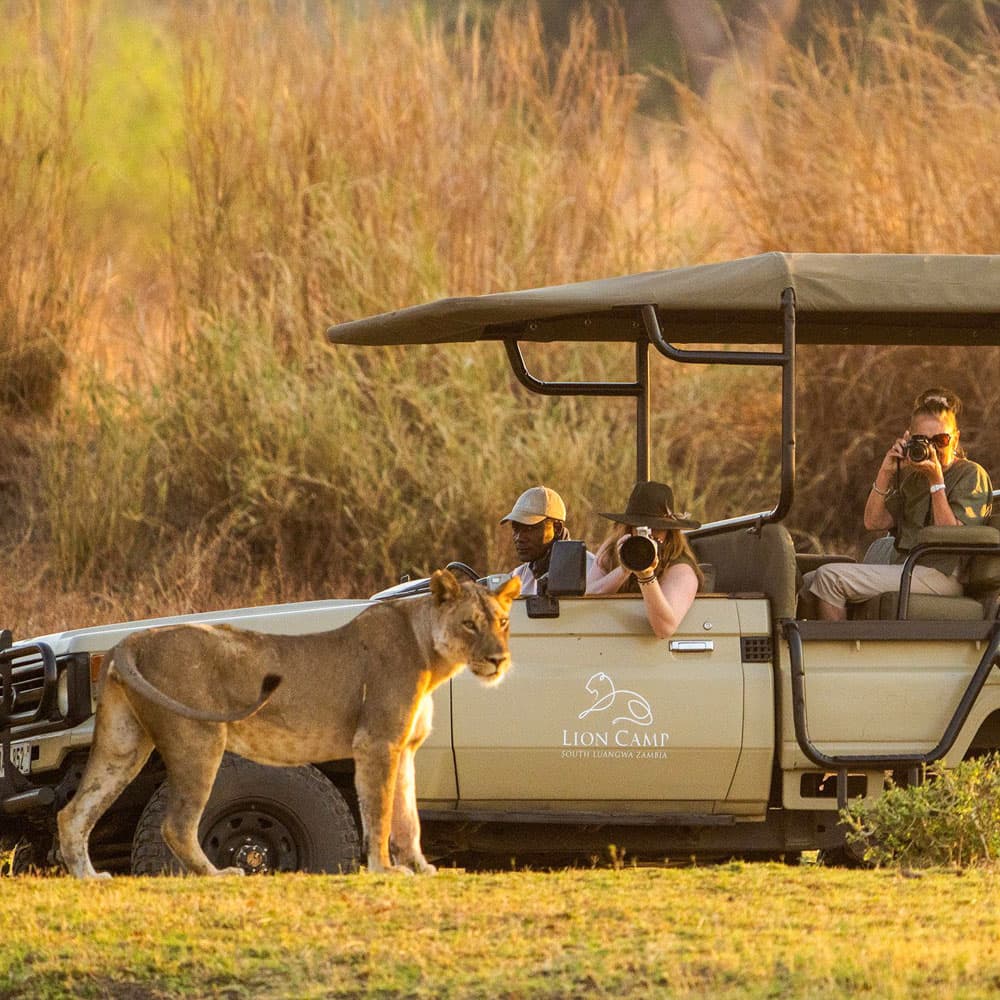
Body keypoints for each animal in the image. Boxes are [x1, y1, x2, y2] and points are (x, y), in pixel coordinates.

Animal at [57, 569, 520, 879]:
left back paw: (90, 878)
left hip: (123, 744)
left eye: (503, 622)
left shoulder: (404, 747)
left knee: (73, 812)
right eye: (469, 624)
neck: (431, 654)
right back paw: (219, 874)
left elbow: (408, 815)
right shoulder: (376, 742)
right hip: (198, 738)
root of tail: (131, 640)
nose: (498, 659)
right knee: (176, 824)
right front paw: (384, 869)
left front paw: (421, 867)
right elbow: (381, 810)